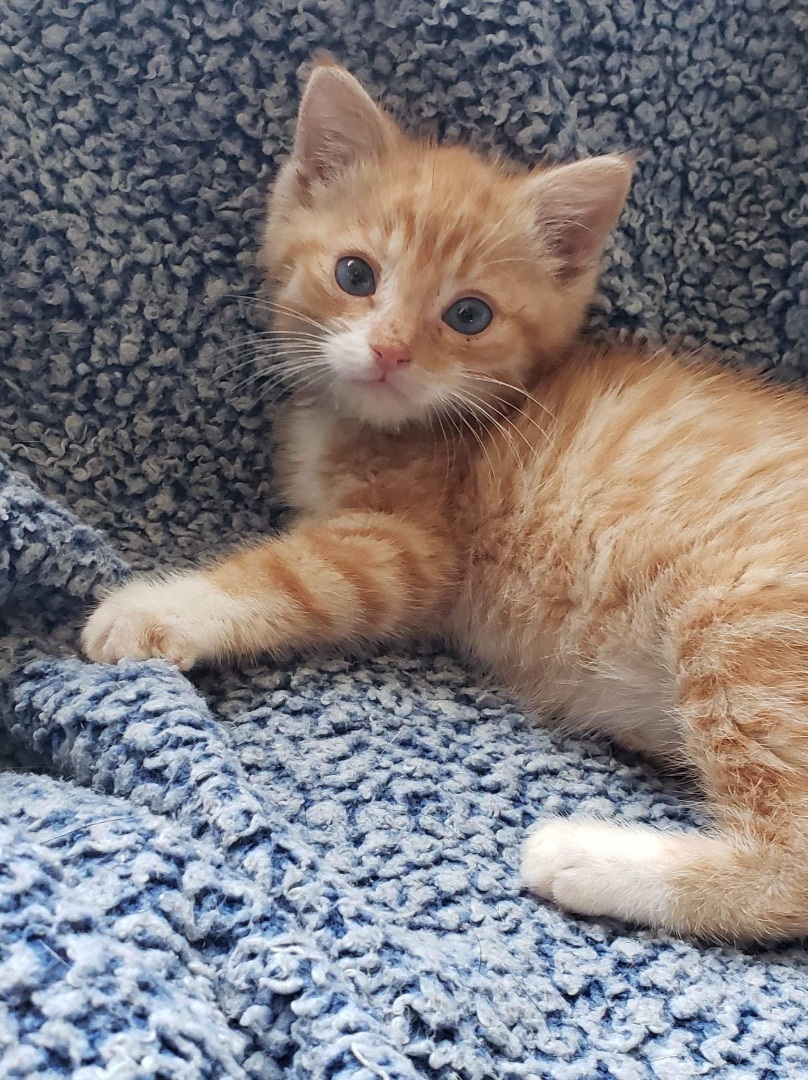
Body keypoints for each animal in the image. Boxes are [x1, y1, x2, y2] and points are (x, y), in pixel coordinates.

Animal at [85, 59, 808, 941]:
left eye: (469, 314)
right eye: (355, 274)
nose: (390, 351)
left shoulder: (412, 543)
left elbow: (293, 577)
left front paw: (155, 609)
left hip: (745, 617)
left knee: (791, 866)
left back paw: (588, 857)